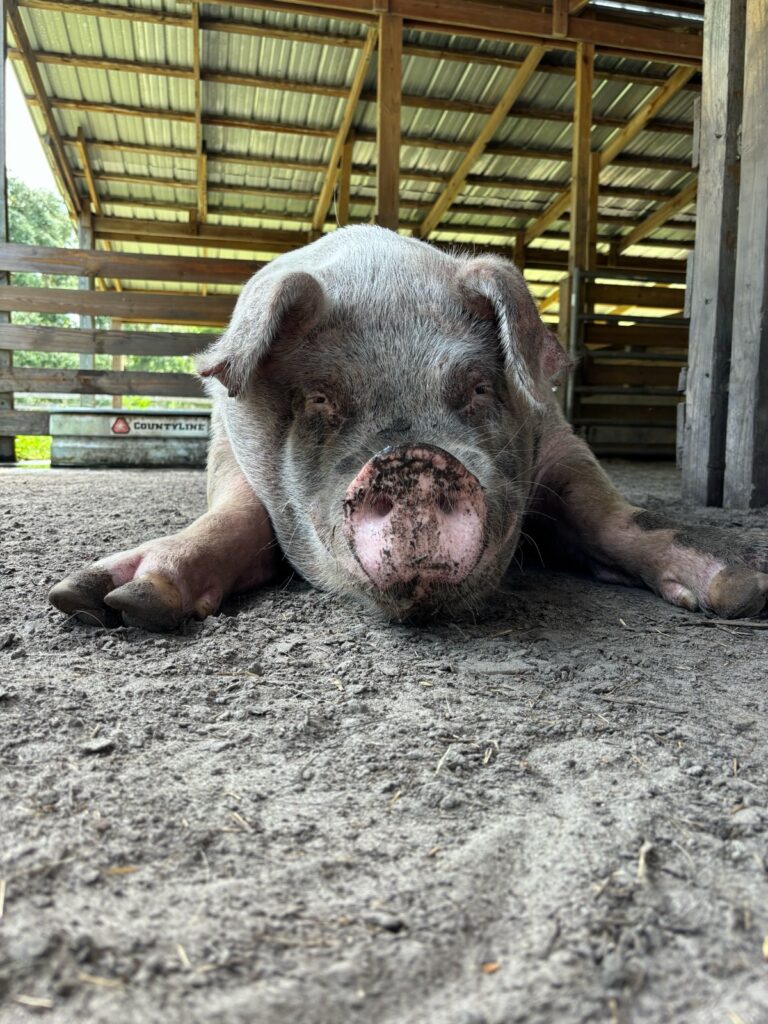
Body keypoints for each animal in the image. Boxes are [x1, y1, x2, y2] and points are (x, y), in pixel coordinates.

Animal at [49, 226, 768, 631]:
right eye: (319, 399)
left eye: (478, 388)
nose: (416, 462)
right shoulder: (227, 445)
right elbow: (240, 513)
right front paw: (106, 602)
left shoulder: (558, 437)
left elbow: (608, 513)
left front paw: (740, 587)